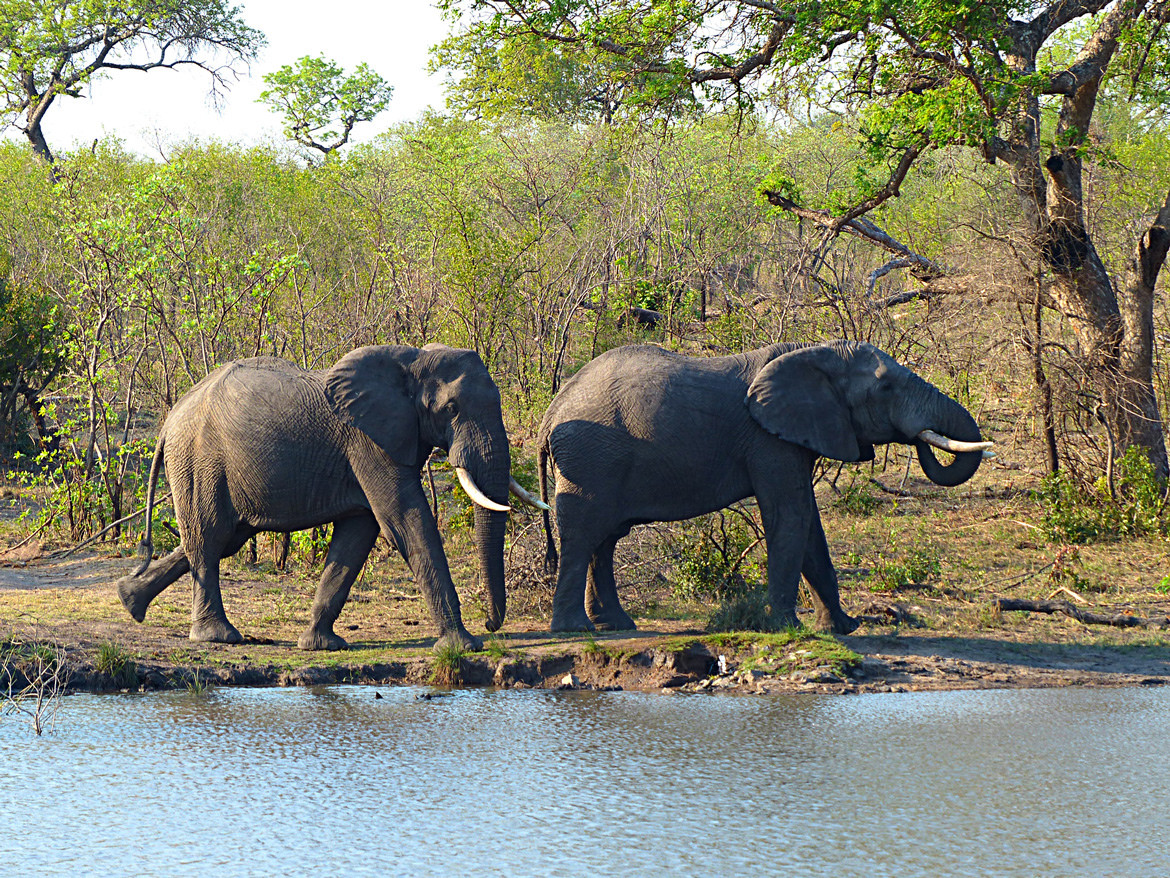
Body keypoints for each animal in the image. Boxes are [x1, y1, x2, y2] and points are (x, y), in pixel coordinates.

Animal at [114, 344, 542, 655]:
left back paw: (129, 600)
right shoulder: (369, 442)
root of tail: (169, 421)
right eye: (451, 409)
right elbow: (404, 522)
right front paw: (463, 646)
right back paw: (218, 637)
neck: (412, 359)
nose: (491, 624)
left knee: (221, 538)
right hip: (199, 460)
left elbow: (358, 536)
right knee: (209, 538)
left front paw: (320, 646)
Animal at [535, 339, 992, 636]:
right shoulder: (769, 439)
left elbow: (811, 526)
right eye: (885, 388)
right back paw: (573, 630)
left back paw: (614, 624)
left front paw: (842, 628)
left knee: (606, 538)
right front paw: (787, 627)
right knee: (584, 534)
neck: (815, 355)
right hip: (591, 460)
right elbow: (790, 516)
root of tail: (550, 413)